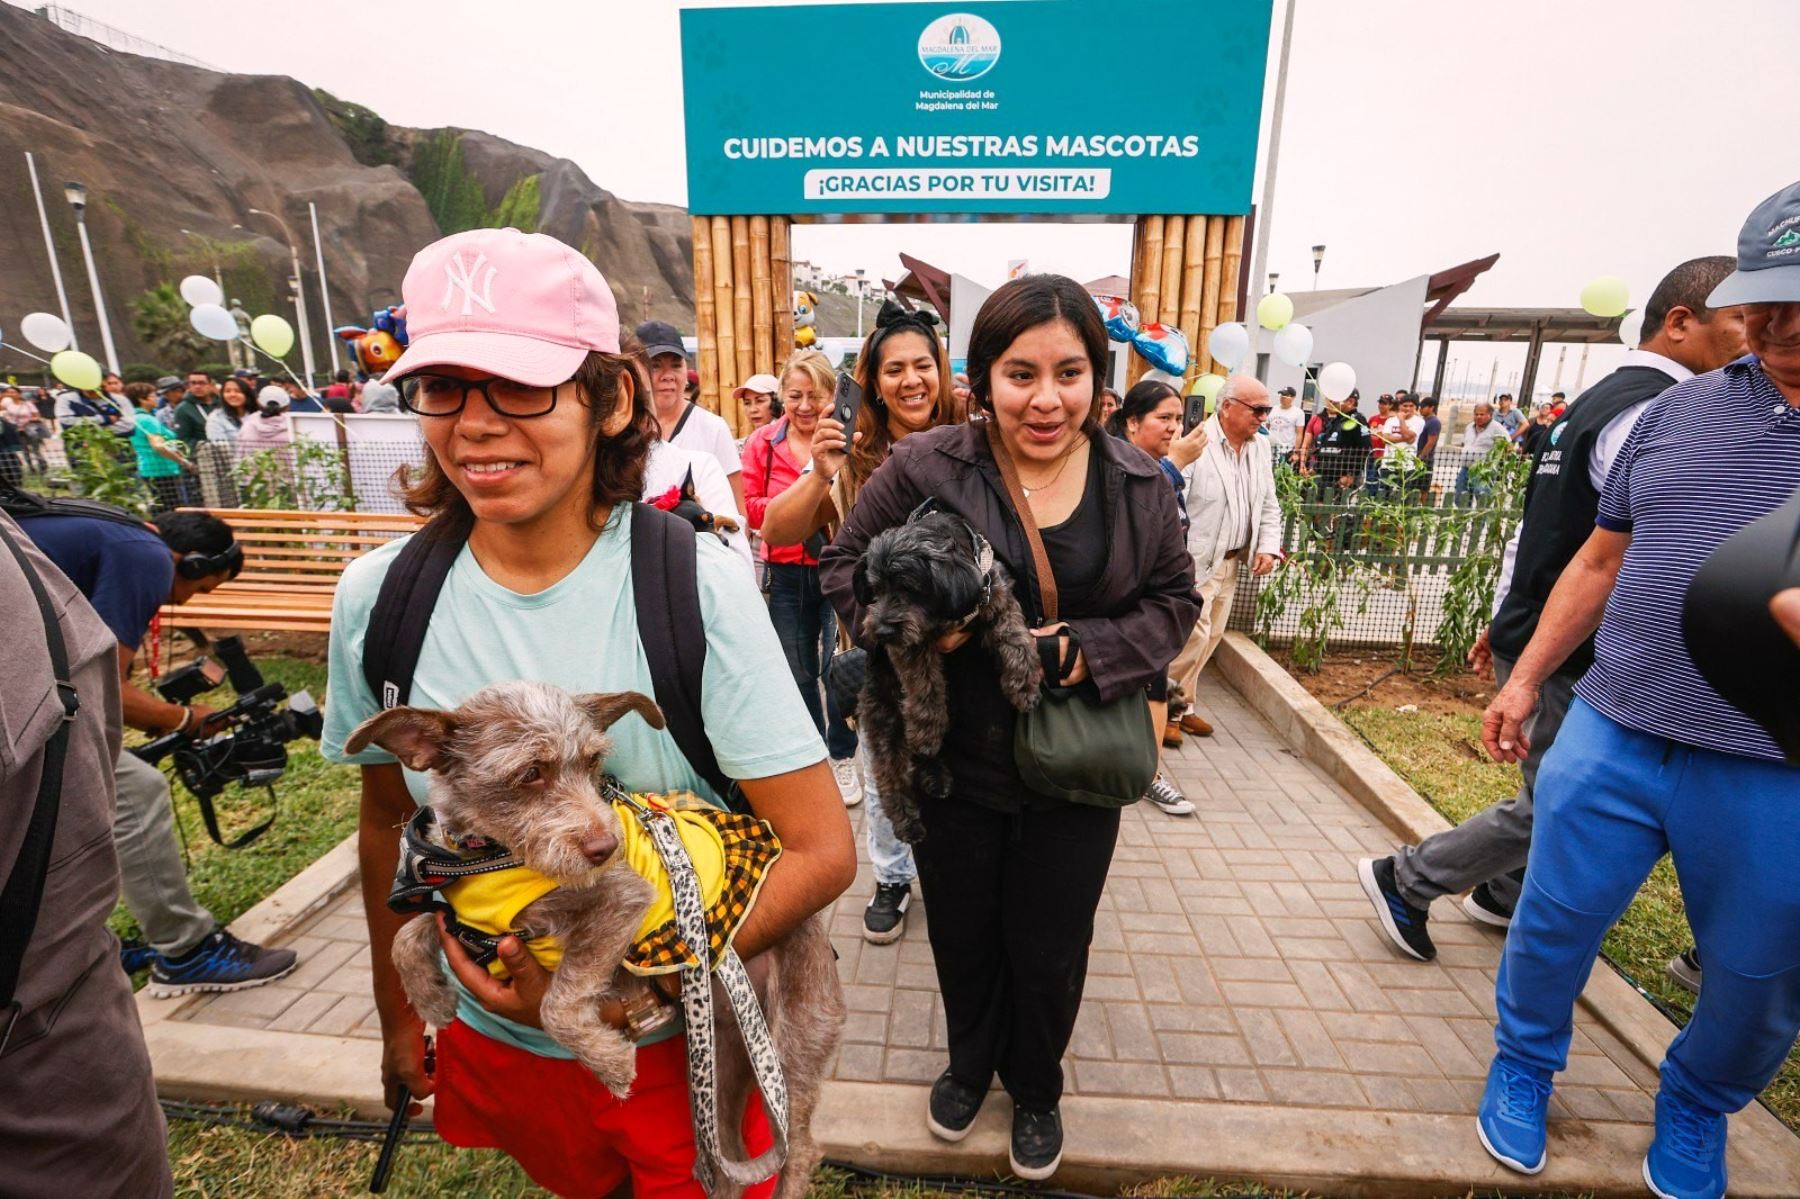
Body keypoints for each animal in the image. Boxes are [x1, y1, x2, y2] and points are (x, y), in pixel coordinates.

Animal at [856, 504, 1044, 838]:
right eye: (876, 589)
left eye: (908, 588)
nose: (881, 631)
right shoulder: (910, 642)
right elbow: (924, 684)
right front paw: (926, 725)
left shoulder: (995, 595)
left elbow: (1015, 637)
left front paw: (1024, 686)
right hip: (885, 719)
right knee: (891, 774)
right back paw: (907, 820)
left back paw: (936, 777)